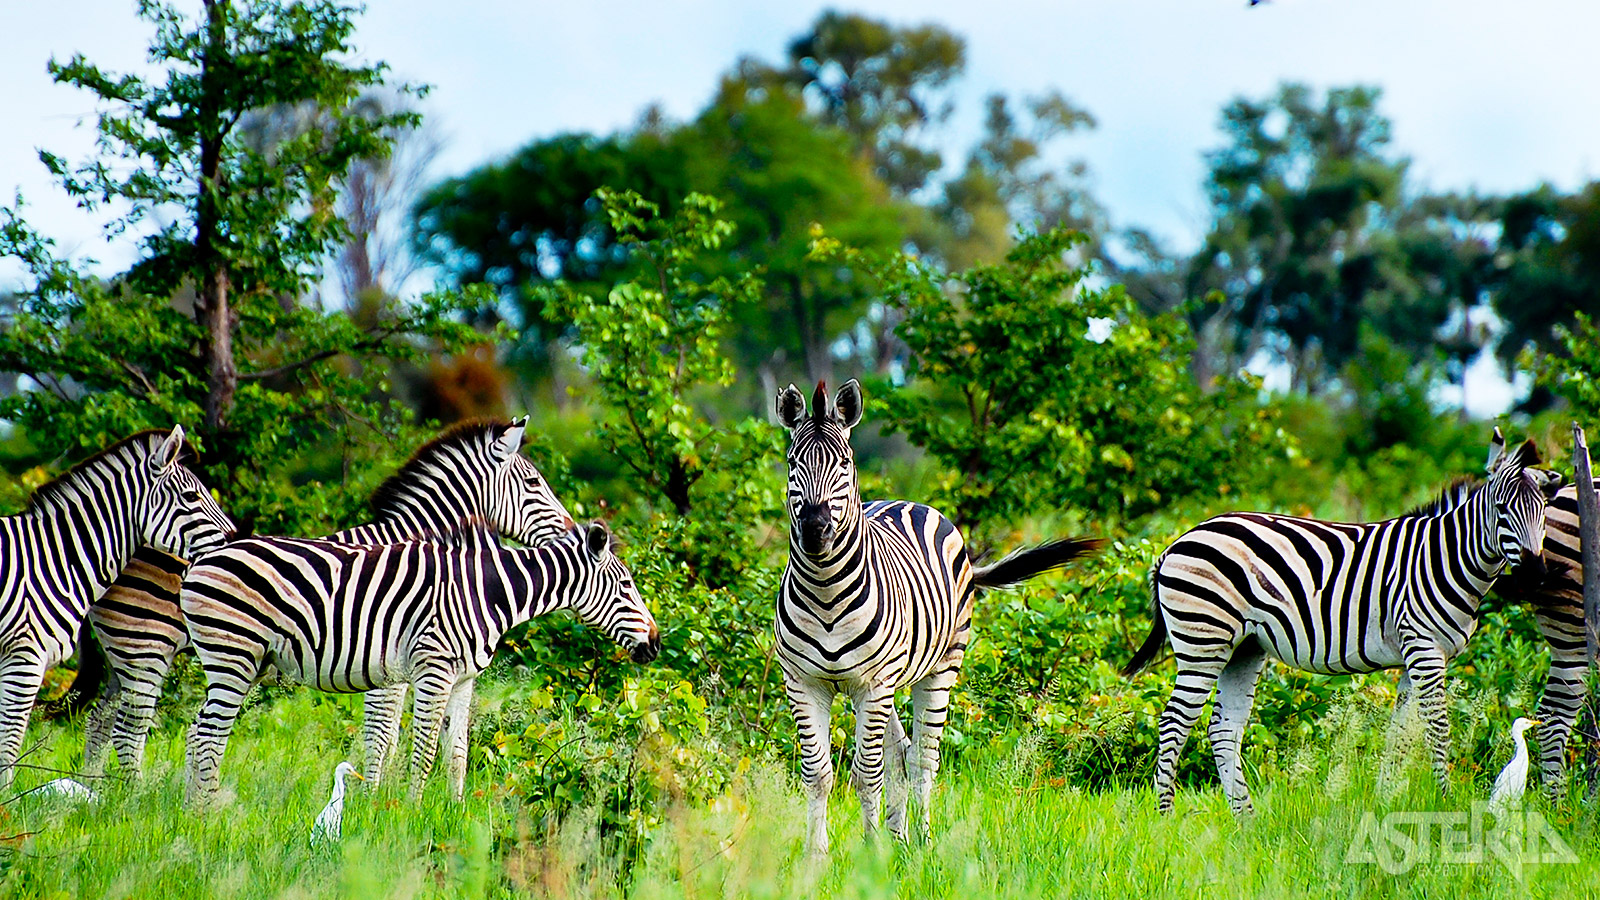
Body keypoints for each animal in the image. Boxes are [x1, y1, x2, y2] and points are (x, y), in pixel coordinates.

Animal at [0, 425, 233, 784]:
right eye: (191, 497)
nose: (234, 541)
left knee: (104, 722)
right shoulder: (25, 654)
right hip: (145, 646)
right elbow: (9, 740)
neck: (53, 557)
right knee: (128, 730)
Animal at [78, 419, 576, 778]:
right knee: (130, 732)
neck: (413, 543)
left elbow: (393, 740)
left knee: (99, 724)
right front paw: (374, 804)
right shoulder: (389, 668)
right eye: (534, 483)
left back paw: (100, 798)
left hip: (126, 656)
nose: (576, 531)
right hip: (148, 649)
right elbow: (381, 738)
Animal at [184, 515, 659, 800]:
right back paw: (207, 812)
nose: (655, 645)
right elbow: (425, 751)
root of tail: (207, 557)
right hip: (234, 652)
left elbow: (458, 753)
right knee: (210, 735)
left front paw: (457, 813)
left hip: (240, 659)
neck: (488, 593)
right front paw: (410, 811)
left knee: (196, 729)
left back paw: (189, 809)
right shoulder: (434, 668)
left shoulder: (465, 678)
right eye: (626, 586)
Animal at [771, 374, 1100, 851]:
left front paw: (869, 853)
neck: (824, 590)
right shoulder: (804, 682)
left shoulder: (873, 683)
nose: (815, 530)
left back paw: (922, 841)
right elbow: (819, 776)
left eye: (845, 464)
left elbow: (866, 774)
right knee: (900, 752)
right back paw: (899, 837)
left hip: (940, 666)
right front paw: (818, 857)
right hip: (888, 683)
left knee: (923, 758)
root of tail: (907, 502)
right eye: (793, 463)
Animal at [1126, 425, 1561, 813]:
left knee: (1223, 729)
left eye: (1543, 511)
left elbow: (1399, 735)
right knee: (1173, 724)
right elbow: (1437, 727)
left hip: (1244, 647)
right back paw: (1166, 818)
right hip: (1204, 639)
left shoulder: (1414, 656)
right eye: (1502, 510)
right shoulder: (1424, 648)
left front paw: (1385, 803)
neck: (1446, 559)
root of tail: (1177, 542)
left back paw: (1245, 820)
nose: (1536, 575)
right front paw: (1446, 798)